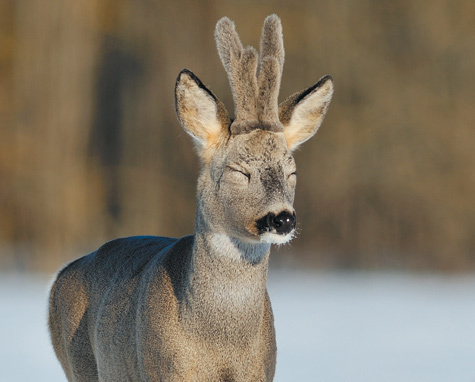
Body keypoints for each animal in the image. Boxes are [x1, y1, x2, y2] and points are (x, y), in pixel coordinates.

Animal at [47, 14, 330, 382]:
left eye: (291, 171)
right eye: (239, 171)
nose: (282, 218)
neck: (220, 345)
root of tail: (61, 276)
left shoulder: (262, 371)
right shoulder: (164, 369)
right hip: (79, 365)